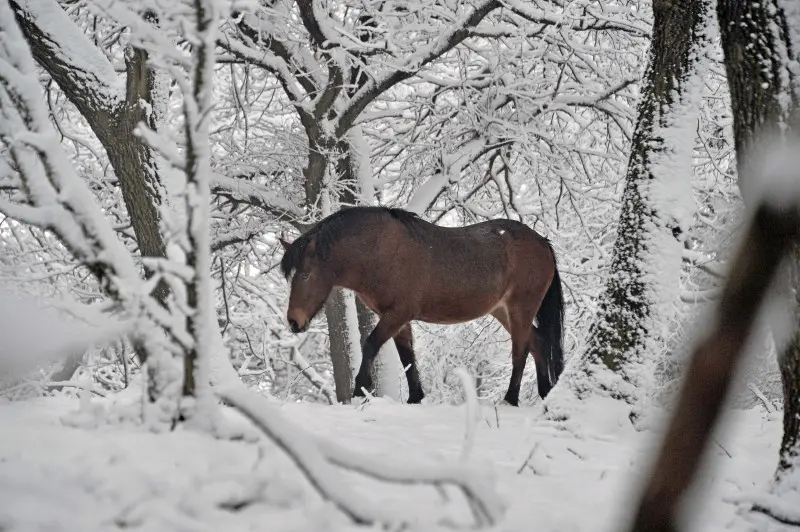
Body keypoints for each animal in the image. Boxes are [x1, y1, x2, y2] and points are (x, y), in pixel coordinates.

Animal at [278, 206, 564, 406]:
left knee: (521, 350)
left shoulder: (397, 314)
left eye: (305, 275)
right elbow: (407, 356)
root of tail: (543, 242)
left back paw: (510, 399)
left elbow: (371, 344)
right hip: (502, 311)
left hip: (520, 308)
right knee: (538, 343)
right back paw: (546, 393)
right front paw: (415, 397)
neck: (379, 252)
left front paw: (360, 389)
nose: (293, 321)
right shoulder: (396, 318)